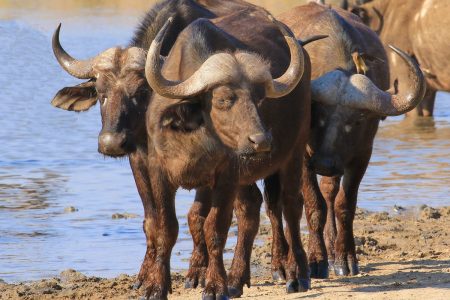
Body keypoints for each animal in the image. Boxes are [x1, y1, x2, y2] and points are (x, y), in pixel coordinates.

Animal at [142, 5, 312, 298]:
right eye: (223, 99)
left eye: (260, 98)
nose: (261, 141)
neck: (195, 133)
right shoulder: (158, 173)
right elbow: (167, 228)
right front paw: (156, 286)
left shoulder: (227, 176)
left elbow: (215, 228)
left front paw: (215, 286)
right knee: (250, 210)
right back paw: (236, 279)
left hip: (295, 151)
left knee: (290, 206)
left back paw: (296, 274)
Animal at [278, 2, 426, 278]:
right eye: (317, 114)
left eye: (357, 121)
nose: (324, 164)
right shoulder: (303, 156)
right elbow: (314, 206)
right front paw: (316, 260)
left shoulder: (361, 155)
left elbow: (344, 205)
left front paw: (344, 258)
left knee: (330, 192)